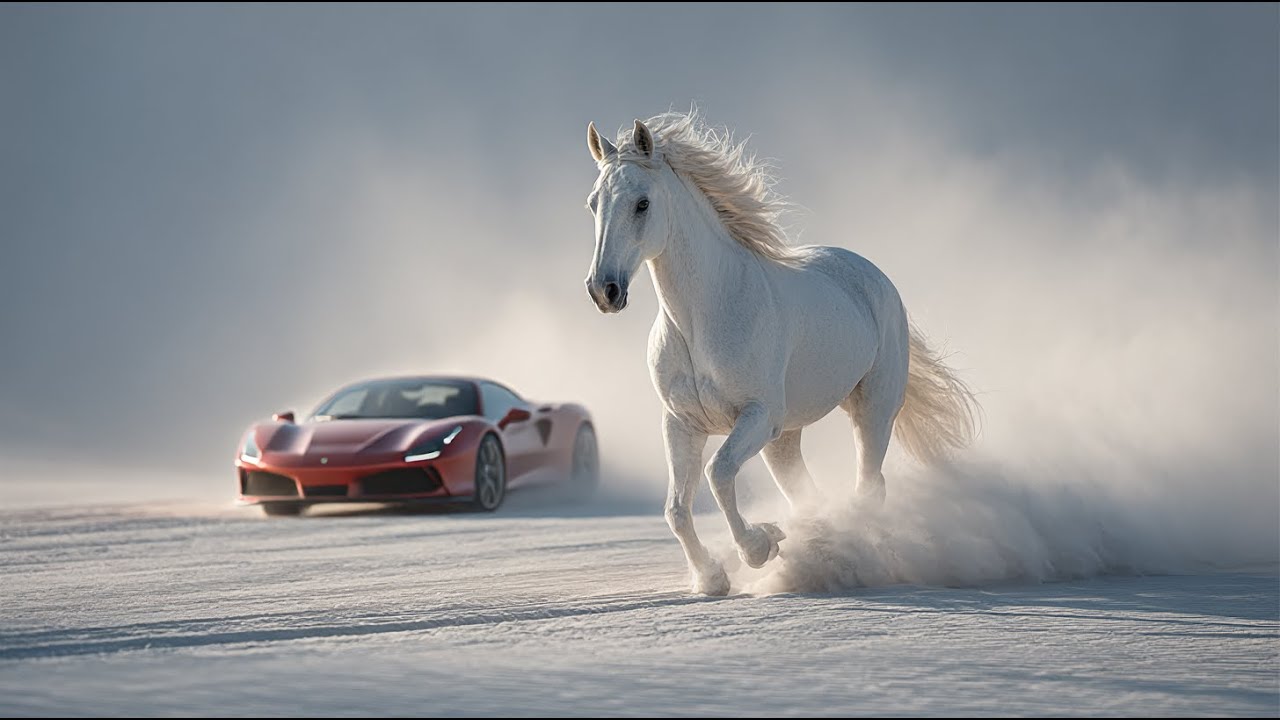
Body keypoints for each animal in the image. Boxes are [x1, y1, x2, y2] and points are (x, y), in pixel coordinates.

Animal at [582, 111, 977, 595]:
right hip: (785, 439)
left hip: (872, 411)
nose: (604, 290)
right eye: (593, 203)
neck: (704, 317)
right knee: (809, 494)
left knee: (870, 486)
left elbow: (718, 473)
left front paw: (760, 547)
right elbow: (675, 508)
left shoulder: (757, 415)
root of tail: (873, 275)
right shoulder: (681, 423)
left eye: (642, 203)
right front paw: (712, 578)